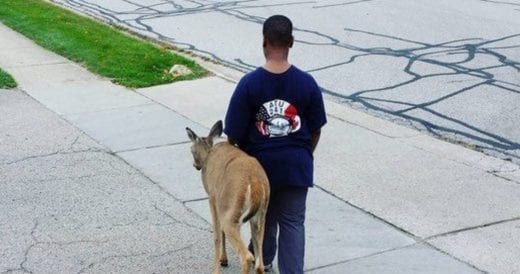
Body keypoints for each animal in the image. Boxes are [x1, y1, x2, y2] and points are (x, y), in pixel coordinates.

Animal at [185, 120, 270, 274]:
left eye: (191, 149)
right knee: (259, 263)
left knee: (247, 257)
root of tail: (255, 182)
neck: (208, 154)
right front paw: (224, 259)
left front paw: (218, 266)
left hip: (232, 209)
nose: (195, 165)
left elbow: (217, 236)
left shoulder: (213, 198)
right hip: (260, 215)